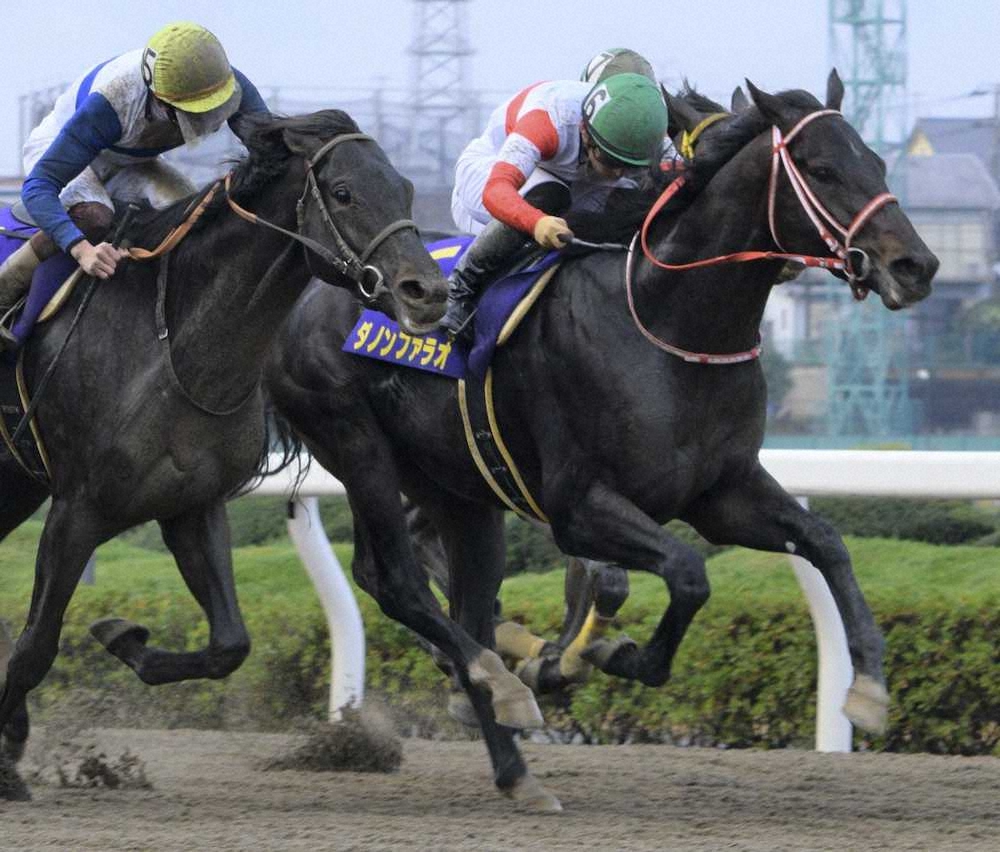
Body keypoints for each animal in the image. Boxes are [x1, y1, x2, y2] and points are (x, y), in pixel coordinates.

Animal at [0, 109, 447, 798]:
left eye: (404, 189)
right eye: (343, 192)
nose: (426, 291)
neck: (175, 348)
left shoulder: (192, 504)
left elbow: (229, 644)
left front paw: (123, 638)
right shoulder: (78, 509)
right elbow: (35, 646)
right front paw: (5, 762)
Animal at [264, 72, 938, 811]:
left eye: (876, 162)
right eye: (821, 169)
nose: (917, 265)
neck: (669, 323)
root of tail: (312, 295)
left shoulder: (722, 493)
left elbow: (826, 543)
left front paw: (868, 687)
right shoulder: (579, 507)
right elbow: (687, 573)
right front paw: (610, 654)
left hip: (458, 489)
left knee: (459, 598)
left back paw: (512, 751)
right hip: (360, 449)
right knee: (393, 579)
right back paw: (502, 684)